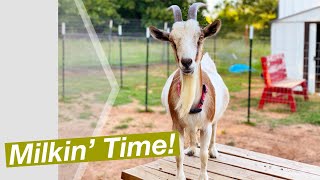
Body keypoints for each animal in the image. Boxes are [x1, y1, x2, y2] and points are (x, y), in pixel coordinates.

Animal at [149, 2, 229, 180]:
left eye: (200, 37)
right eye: (172, 41)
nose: (187, 62)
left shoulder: (206, 125)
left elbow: (204, 155)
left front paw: (203, 176)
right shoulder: (177, 125)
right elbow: (179, 155)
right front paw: (180, 176)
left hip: (217, 116)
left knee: (215, 129)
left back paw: (214, 151)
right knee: (192, 132)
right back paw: (192, 148)